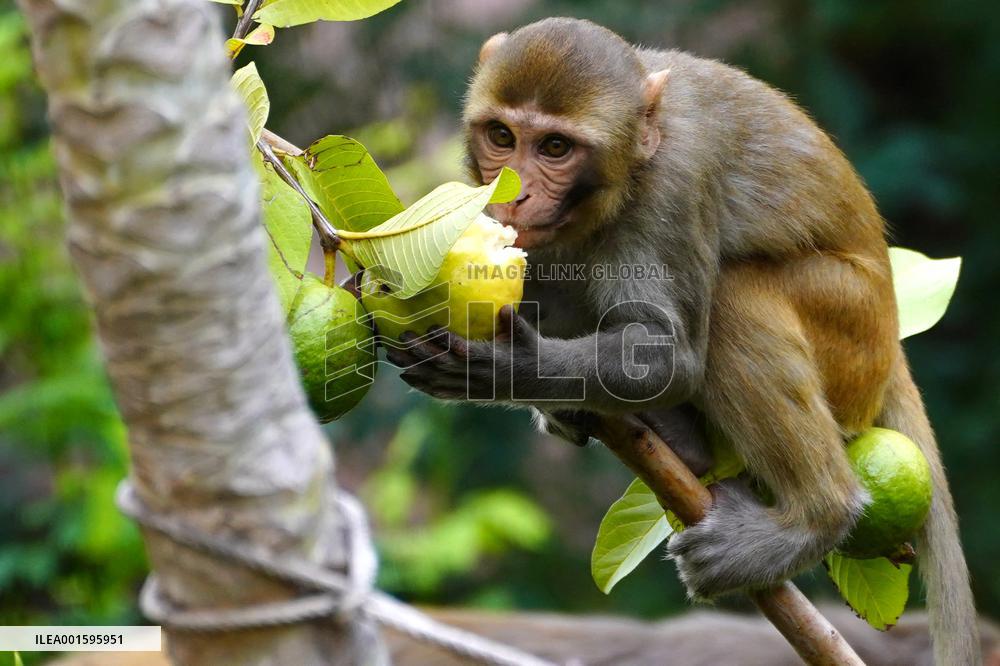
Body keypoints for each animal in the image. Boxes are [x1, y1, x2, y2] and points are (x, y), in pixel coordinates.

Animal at [383, 17, 978, 664]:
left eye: (556, 148)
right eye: (501, 135)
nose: (509, 193)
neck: (639, 149)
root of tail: (892, 343)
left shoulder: (675, 179)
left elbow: (670, 356)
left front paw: (512, 369)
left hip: (851, 331)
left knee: (735, 300)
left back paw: (814, 517)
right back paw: (672, 440)